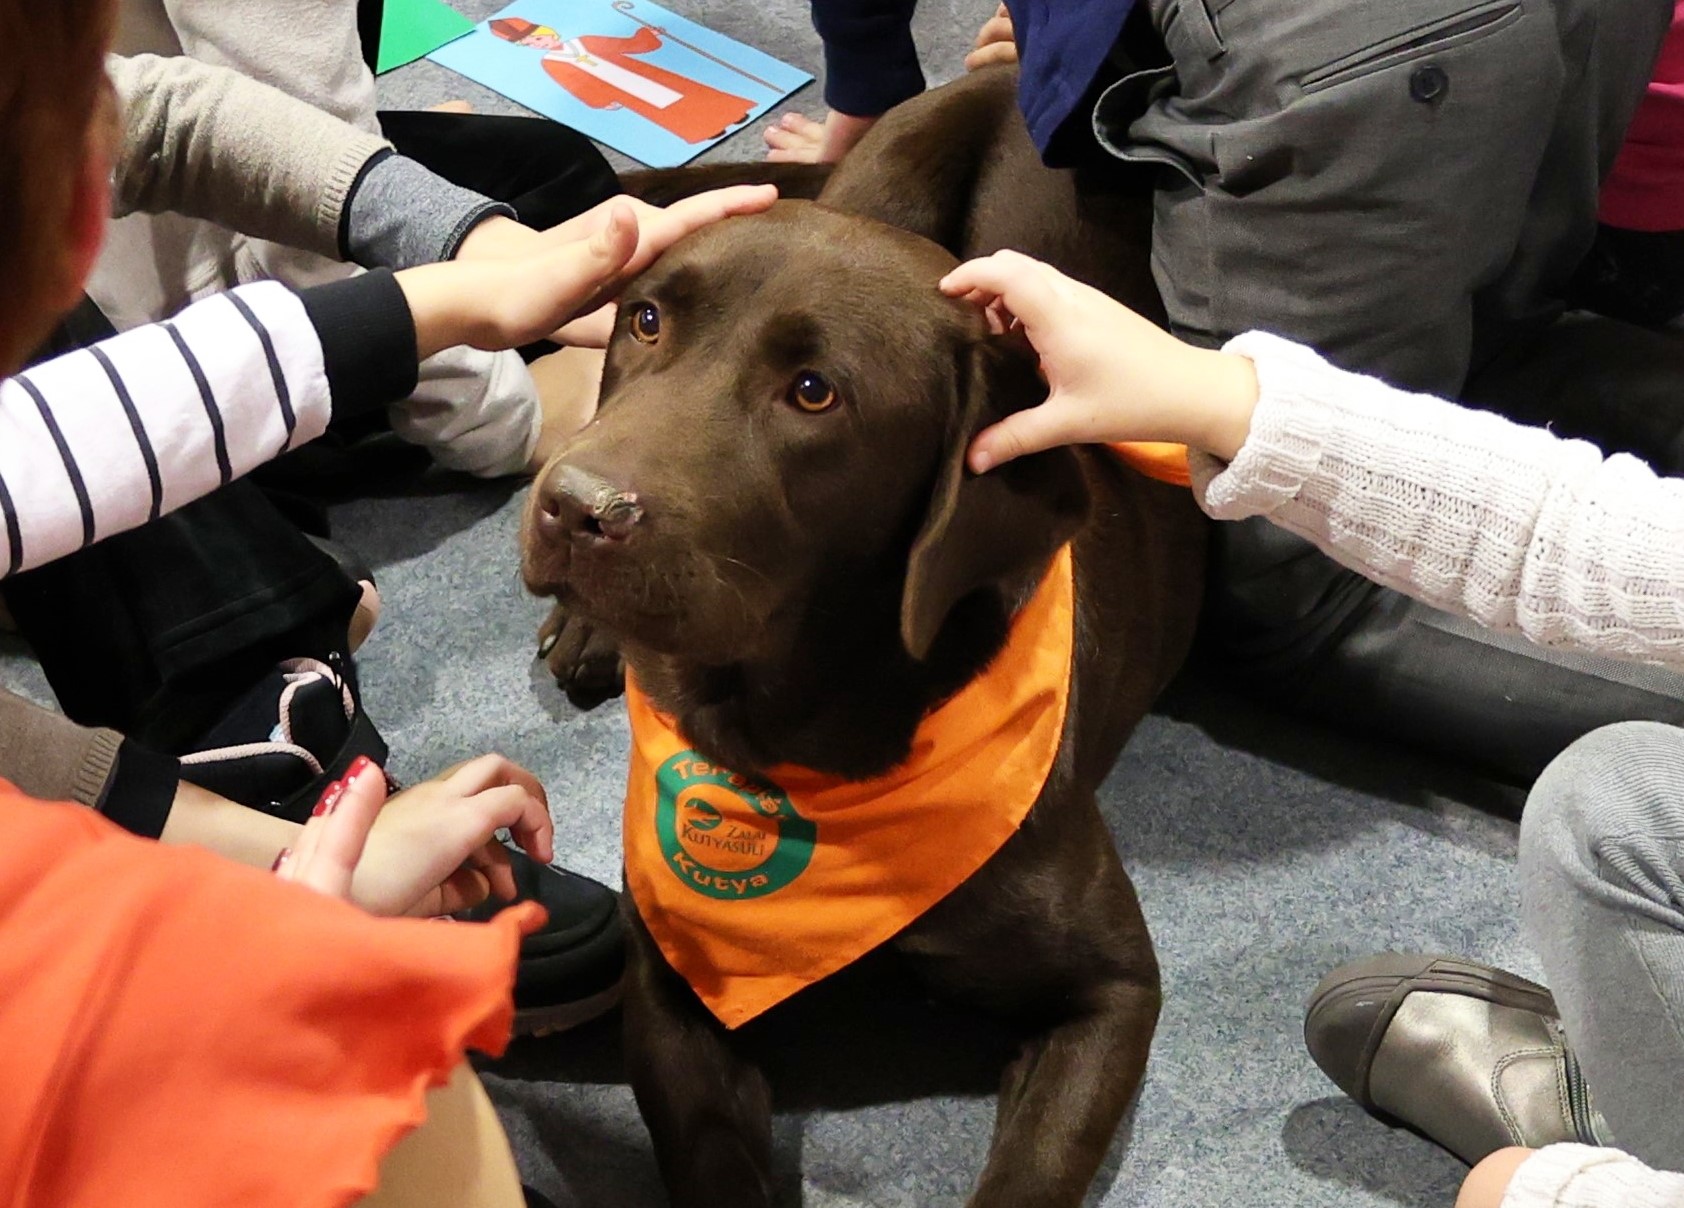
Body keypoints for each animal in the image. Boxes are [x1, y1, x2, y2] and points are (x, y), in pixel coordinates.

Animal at [521, 66, 1208, 1207]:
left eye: (814, 392)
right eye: (648, 318)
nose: (576, 507)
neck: (803, 732)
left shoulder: (1112, 988)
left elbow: (1032, 1172)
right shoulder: (670, 975)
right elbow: (709, 1154)